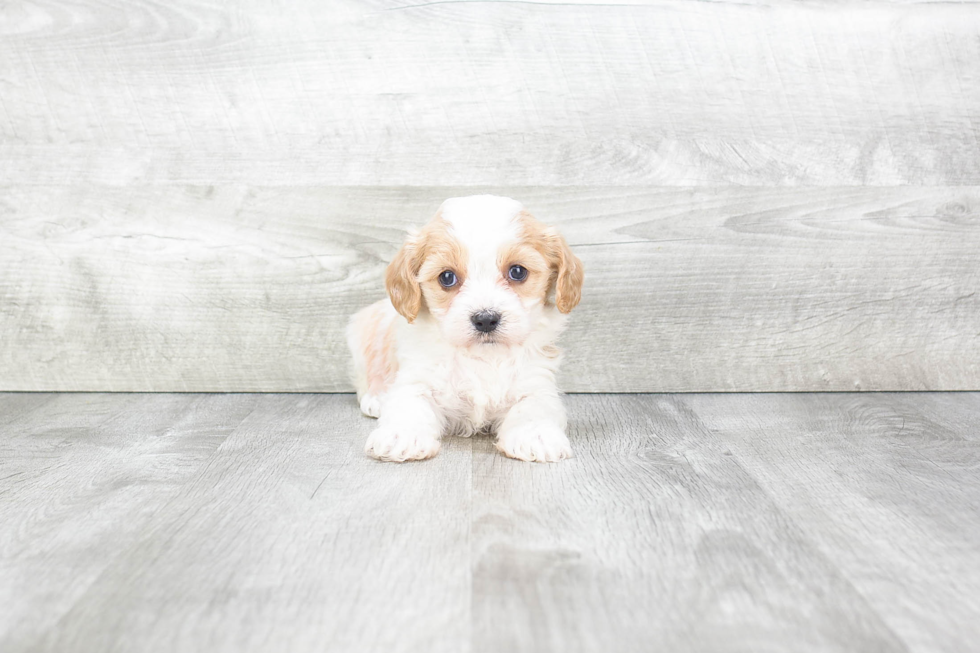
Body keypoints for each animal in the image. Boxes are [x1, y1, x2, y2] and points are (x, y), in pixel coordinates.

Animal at [346, 195, 580, 464]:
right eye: (447, 277)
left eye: (518, 271)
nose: (486, 319)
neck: (482, 357)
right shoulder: (418, 377)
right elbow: (410, 403)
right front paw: (401, 436)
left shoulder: (536, 381)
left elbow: (533, 406)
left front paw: (536, 435)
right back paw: (376, 398)